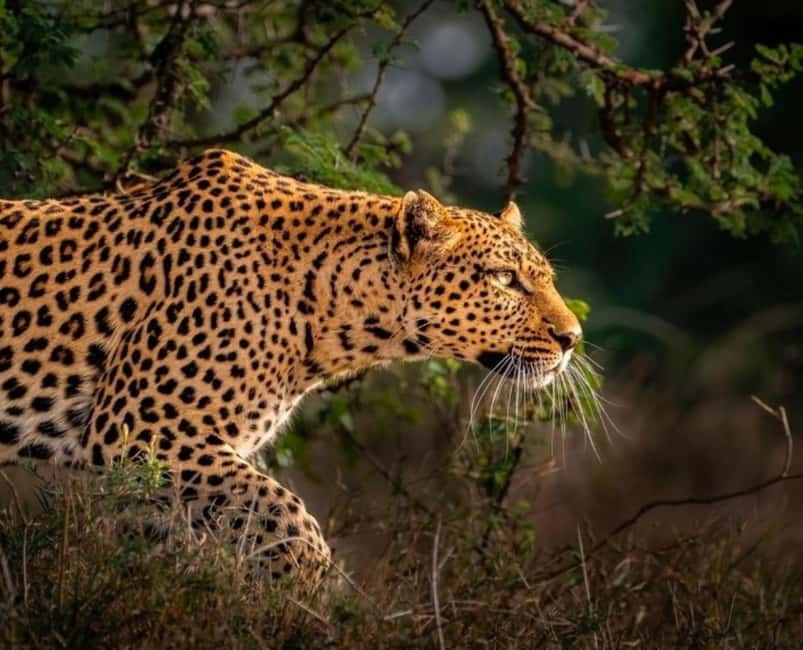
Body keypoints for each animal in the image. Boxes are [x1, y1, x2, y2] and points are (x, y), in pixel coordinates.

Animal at [0, 148, 581, 586]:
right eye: (504, 279)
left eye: (547, 278)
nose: (573, 337)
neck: (326, 313)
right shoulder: (146, 427)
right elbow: (289, 518)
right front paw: (311, 600)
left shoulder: (159, 474)